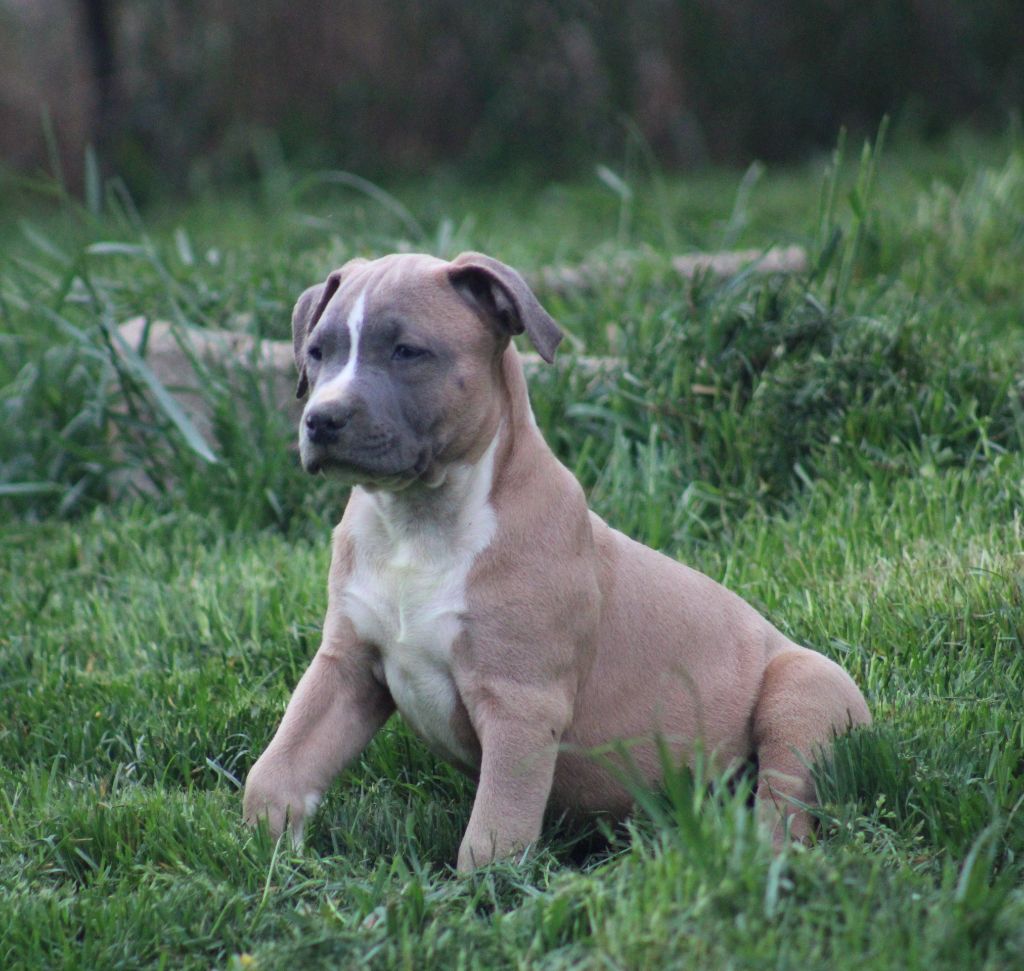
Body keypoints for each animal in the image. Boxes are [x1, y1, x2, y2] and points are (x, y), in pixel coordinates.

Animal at [242, 251, 871, 869]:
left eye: (407, 352)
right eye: (317, 352)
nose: (321, 420)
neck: (419, 525)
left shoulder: (520, 704)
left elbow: (495, 830)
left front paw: (480, 892)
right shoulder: (346, 667)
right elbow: (279, 765)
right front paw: (264, 855)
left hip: (803, 694)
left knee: (785, 804)